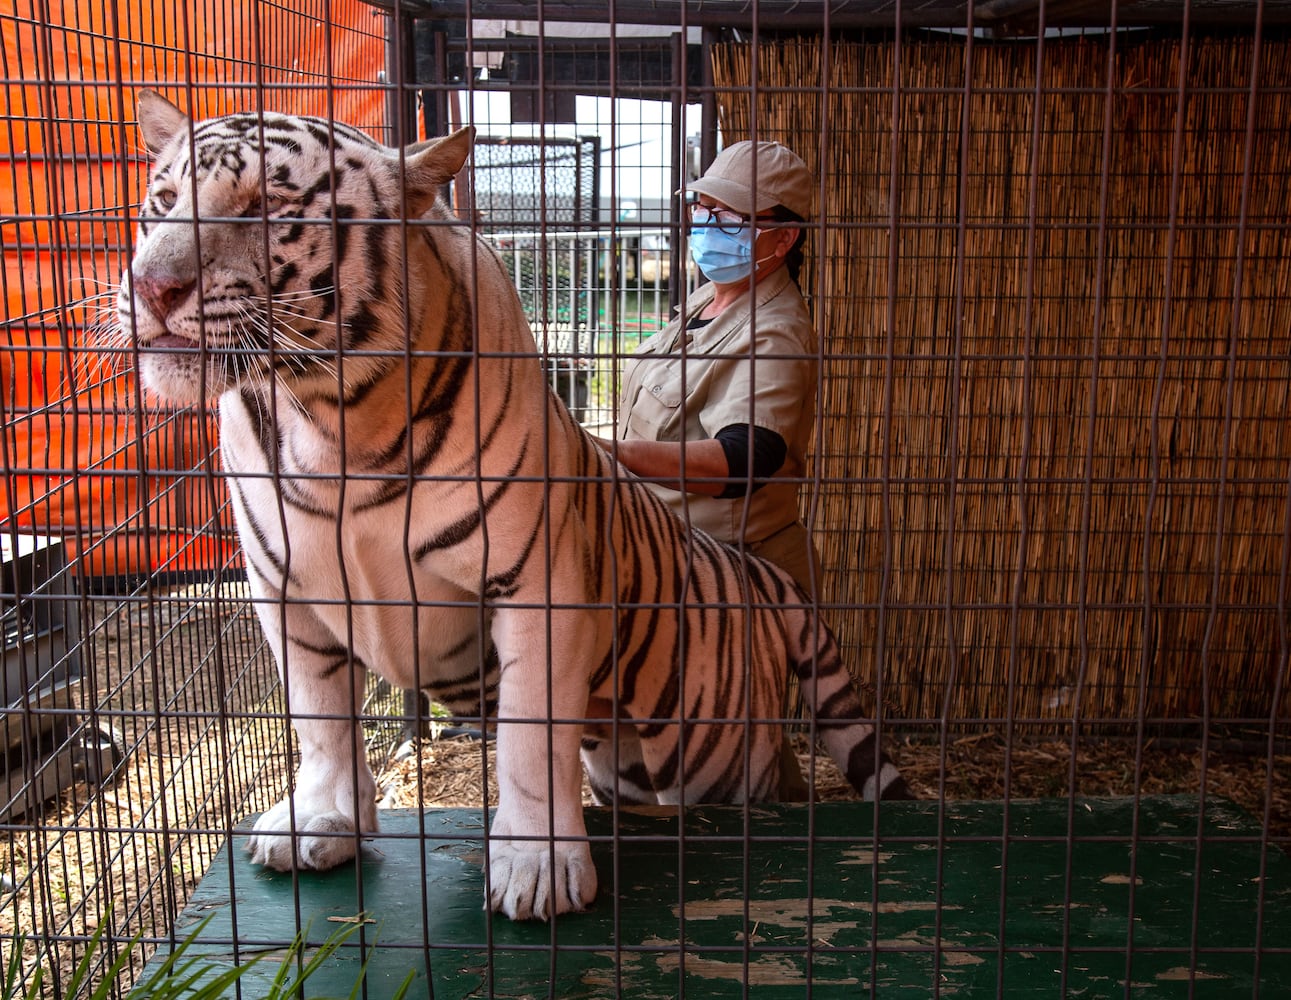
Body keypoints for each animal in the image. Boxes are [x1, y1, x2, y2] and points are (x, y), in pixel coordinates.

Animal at [118, 94, 908, 923]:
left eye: (266, 208)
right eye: (162, 201)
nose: (150, 287)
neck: (330, 414)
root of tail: (756, 572)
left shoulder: (535, 586)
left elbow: (531, 735)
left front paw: (538, 865)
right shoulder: (288, 588)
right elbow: (319, 715)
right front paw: (324, 819)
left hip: (707, 746)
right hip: (628, 760)